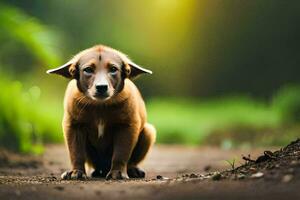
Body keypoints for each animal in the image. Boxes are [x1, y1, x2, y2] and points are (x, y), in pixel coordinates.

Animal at [47, 45, 156, 180]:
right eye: (88, 70)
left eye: (113, 69)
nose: (102, 87)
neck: (99, 106)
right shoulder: (73, 126)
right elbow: (76, 152)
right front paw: (76, 171)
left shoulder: (127, 126)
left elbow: (121, 153)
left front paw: (117, 172)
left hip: (148, 132)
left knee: (132, 161)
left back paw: (133, 170)